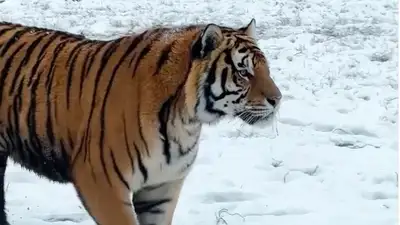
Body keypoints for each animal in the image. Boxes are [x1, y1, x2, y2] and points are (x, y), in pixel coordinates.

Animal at [0, 18, 282, 224]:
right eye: (243, 71)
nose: (278, 99)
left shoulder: (161, 188)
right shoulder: (102, 182)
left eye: (265, 68)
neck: (186, 120)